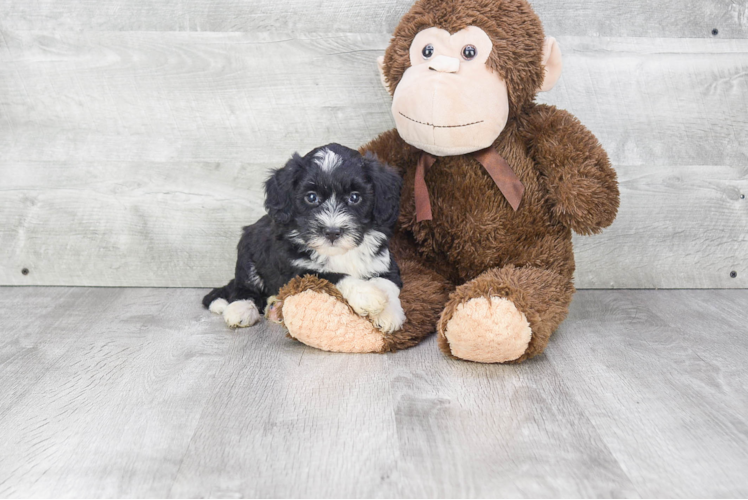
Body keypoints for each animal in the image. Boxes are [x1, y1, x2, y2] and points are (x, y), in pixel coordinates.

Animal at [202, 143, 406, 334]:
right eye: (311, 197)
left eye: (355, 197)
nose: (332, 231)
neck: (339, 253)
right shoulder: (298, 272)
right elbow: (333, 276)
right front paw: (367, 294)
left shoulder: (384, 262)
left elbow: (387, 283)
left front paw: (388, 314)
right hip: (247, 251)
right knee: (243, 286)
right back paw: (240, 308)